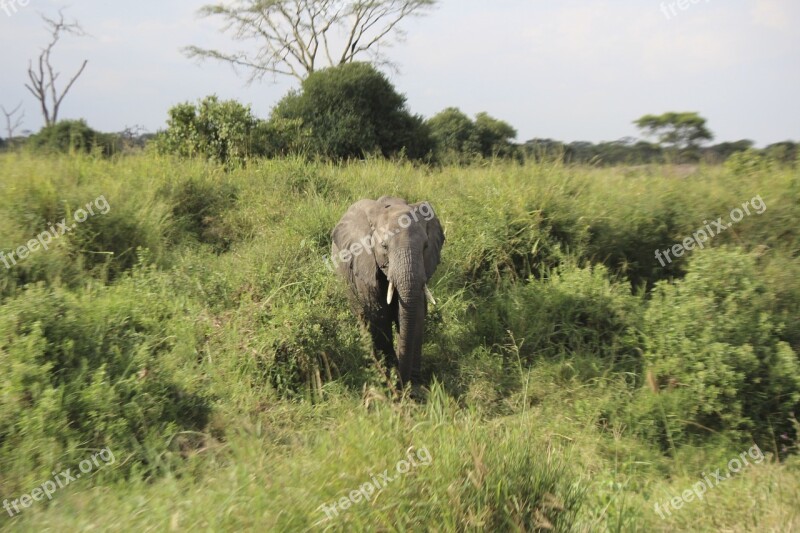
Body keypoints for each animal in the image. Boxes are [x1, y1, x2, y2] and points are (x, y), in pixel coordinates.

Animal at [328, 195, 446, 386]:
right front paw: (390, 378)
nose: (403, 383)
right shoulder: (365, 264)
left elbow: (416, 313)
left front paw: (414, 387)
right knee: (362, 317)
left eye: (426, 246)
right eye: (384, 246)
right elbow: (379, 315)